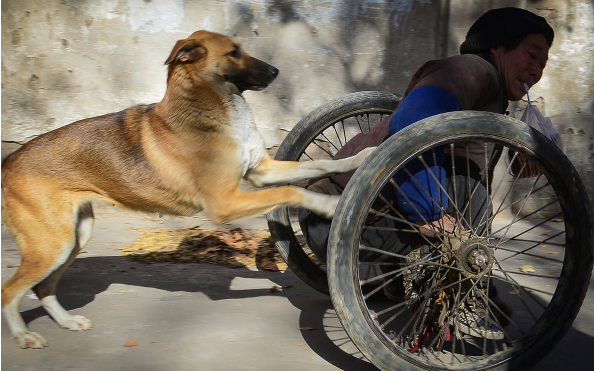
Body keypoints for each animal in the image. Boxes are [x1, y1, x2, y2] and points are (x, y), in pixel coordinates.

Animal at [1, 31, 370, 348]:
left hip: (75, 237)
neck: (215, 108)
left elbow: (319, 165)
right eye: (234, 52)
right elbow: (291, 192)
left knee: (44, 287)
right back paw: (23, 336)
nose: (276, 70)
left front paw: (361, 157)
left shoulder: (261, 172)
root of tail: (9, 162)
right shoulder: (225, 202)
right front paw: (328, 204)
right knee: (10, 291)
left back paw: (66, 322)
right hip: (52, 245)